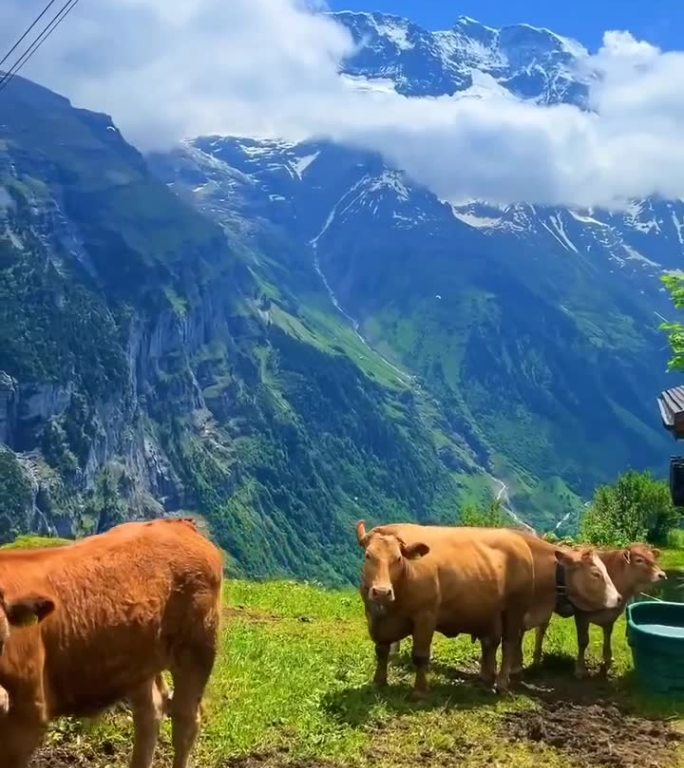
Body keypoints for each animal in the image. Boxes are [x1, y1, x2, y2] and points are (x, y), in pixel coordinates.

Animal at [0, 520, 223, 768]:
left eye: (3, 638)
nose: (1, 700)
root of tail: (178, 524)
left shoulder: (28, 714)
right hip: (140, 660)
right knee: (151, 712)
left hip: (199, 646)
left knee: (186, 721)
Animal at [356, 520, 536, 696]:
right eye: (368, 556)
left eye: (398, 558)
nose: (382, 592)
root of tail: (517, 539)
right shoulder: (374, 618)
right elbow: (381, 650)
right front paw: (379, 683)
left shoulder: (425, 616)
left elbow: (420, 655)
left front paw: (419, 691)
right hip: (489, 611)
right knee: (490, 642)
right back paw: (486, 681)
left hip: (514, 608)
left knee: (508, 644)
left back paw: (502, 685)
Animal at [532, 544, 664, 676]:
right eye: (639, 560)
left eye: (654, 558)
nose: (662, 575)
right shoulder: (582, 615)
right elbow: (583, 641)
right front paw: (580, 669)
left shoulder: (610, 617)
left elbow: (607, 637)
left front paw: (608, 660)